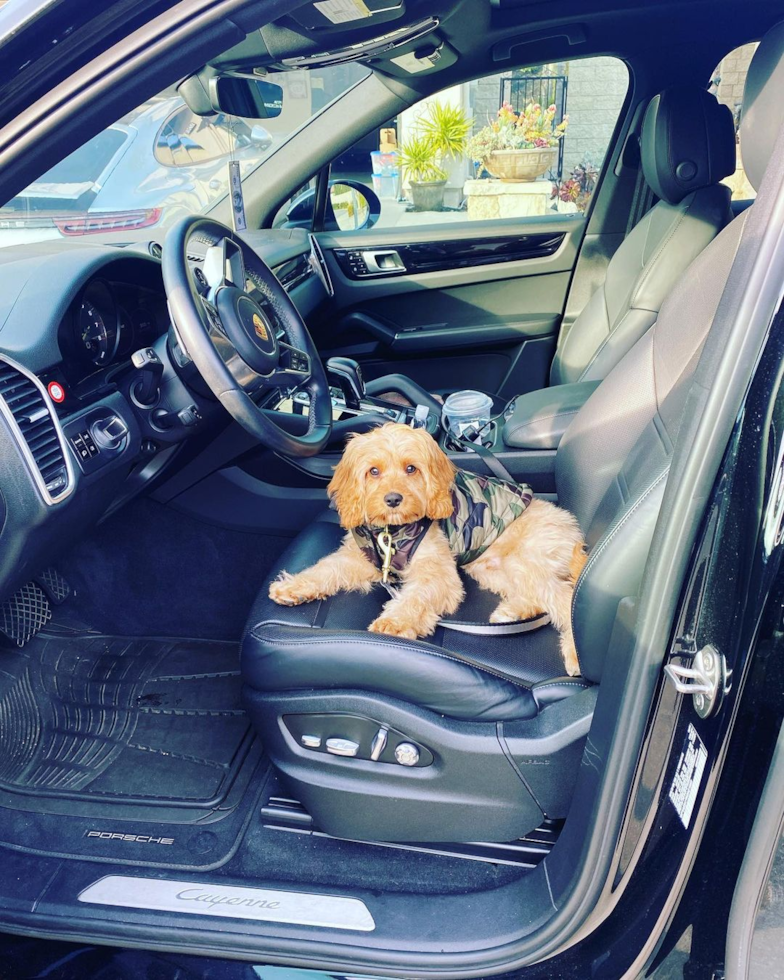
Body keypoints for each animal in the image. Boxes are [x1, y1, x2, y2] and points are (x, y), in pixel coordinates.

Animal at [272, 422, 584, 672]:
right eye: (373, 471)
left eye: (411, 468)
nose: (393, 499)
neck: (393, 532)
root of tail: (572, 527)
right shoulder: (361, 557)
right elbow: (326, 569)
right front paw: (293, 587)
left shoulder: (438, 572)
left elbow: (417, 594)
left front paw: (395, 621)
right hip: (490, 568)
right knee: (540, 597)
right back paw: (514, 613)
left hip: (526, 560)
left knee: (564, 598)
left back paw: (574, 653)